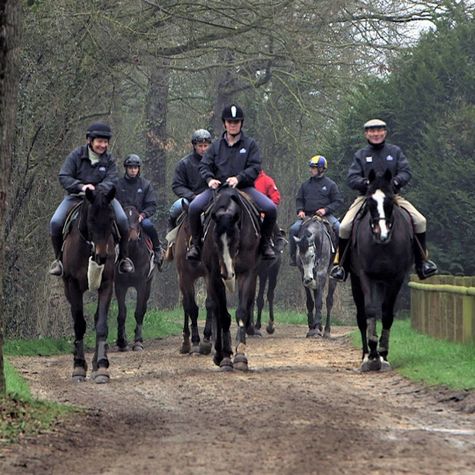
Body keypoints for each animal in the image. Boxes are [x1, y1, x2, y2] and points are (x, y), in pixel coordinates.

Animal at [61, 188, 116, 384]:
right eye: (91, 219)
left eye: (111, 219)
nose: (102, 256)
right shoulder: (73, 286)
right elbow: (79, 325)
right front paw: (78, 367)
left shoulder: (106, 285)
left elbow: (101, 325)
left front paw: (101, 367)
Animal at [114, 206, 154, 352]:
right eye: (124, 219)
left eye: (138, 219)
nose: (132, 238)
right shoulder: (119, 285)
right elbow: (122, 313)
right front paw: (122, 342)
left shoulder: (141, 284)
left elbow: (138, 312)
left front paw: (137, 342)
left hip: (148, 285)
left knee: (143, 308)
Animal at [174, 208, 213, 356]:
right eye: (186, 227)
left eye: (203, 226)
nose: (192, 252)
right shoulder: (185, 277)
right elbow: (192, 307)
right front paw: (196, 342)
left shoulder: (209, 275)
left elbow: (210, 304)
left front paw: (206, 340)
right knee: (186, 305)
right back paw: (186, 342)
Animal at [201, 187, 260, 372]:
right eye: (215, 240)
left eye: (235, 238)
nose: (227, 274)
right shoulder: (214, 276)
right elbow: (223, 316)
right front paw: (226, 356)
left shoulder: (248, 273)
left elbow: (241, 312)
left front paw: (241, 355)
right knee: (216, 311)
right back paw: (219, 354)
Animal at [352, 169, 414, 374]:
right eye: (370, 202)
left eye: (389, 202)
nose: (382, 234)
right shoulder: (365, 276)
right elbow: (370, 310)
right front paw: (372, 354)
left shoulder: (396, 278)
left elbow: (386, 313)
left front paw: (383, 354)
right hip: (356, 281)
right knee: (361, 317)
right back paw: (365, 355)